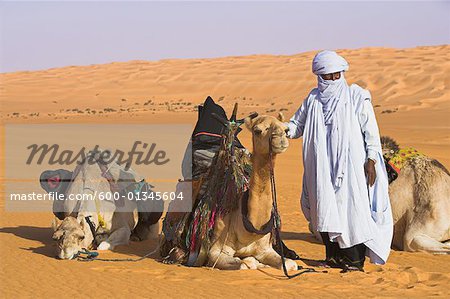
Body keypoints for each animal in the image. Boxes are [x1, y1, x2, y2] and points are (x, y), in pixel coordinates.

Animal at [204, 113, 298, 272]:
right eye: (257, 130)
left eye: (286, 130)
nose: (280, 138)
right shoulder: (215, 250)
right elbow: (243, 264)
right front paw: (254, 263)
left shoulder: (265, 250)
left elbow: (291, 265)